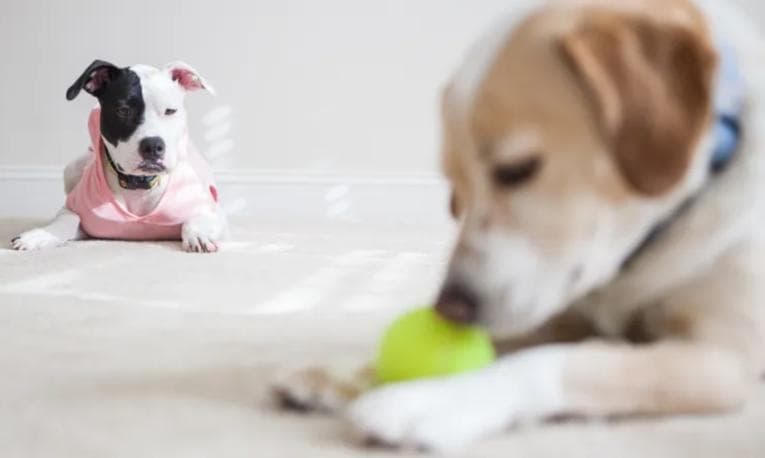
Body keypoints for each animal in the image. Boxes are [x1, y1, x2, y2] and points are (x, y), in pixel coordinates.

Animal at [11, 60, 225, 254]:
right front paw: (41, 235)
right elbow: (67, 218)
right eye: (123, 110)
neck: (139, 186)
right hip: (72, 168)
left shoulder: (213, 212)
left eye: (170, 111)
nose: (153, 146)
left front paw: (199, 234)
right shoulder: (80, 215)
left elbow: (197, 218)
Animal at [274, 0, 764, 450]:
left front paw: (431, 400)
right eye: (456, 193)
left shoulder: (721, 358)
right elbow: (510, 344)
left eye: (516, 169)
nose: (449, 310)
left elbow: (556, 361)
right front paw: (347, 371)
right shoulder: (559, 317)